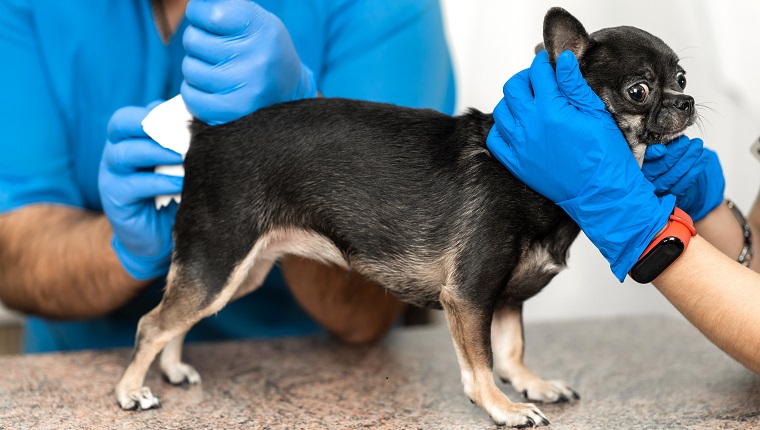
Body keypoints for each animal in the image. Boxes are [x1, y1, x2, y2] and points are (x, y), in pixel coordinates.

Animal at [117, 6, 696, 426]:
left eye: (683, 77)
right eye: (639, 90)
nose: (687, 101)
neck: (535, 176)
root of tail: (205, 134)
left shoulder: (506, 298)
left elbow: (512, 351)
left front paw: (532, 383)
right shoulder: (469, 296)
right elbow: (482, 365)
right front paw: (503, 407)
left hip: (239, 271)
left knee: (176, 321)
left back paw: (172, 369)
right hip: (219, 262)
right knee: (152, 323)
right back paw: (130, 391)